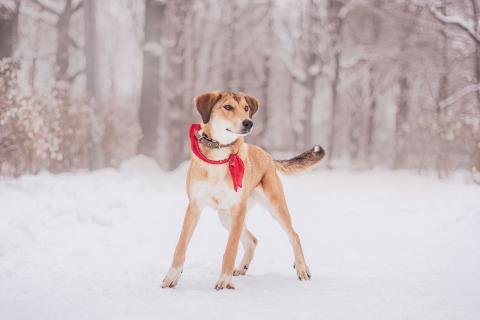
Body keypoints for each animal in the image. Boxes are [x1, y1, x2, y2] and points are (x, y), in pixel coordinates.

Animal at [162, 90, 326, 290]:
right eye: (228, 107)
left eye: (246, 108)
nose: (249, 123)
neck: (220, 154)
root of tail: (268, 155)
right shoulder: (194, 206)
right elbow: (181, 245)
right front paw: (172, 276)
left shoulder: (238, 208)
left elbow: (230, 248)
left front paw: (224, 281)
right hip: (226, 217)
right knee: (252, 240)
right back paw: (242, 267)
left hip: (274, 206)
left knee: (294, 235)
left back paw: (302, 268)